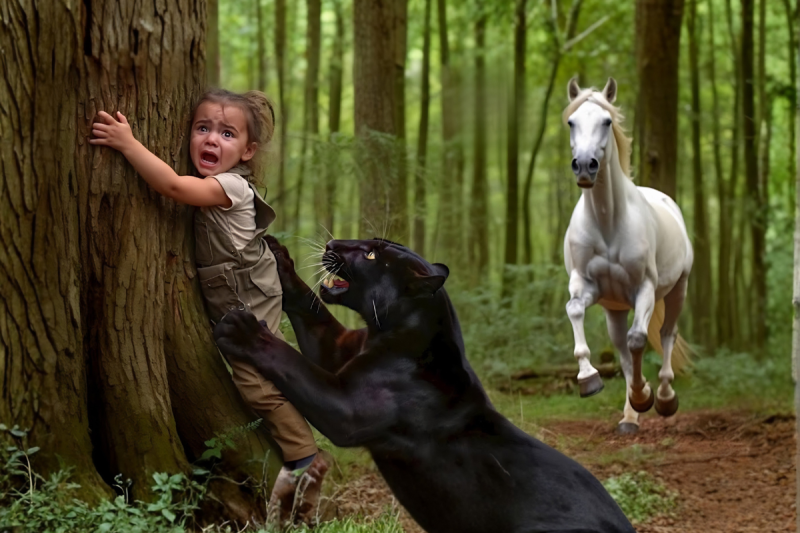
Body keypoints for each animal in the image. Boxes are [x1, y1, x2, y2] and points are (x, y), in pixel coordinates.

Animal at [561, 77, 693, 434]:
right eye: (571, 122)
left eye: (606, 121)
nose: (585, 166)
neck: (608, 222)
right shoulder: (586, 285)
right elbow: (575, 311)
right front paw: (588, 379)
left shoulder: (644, 288)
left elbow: (639, 340)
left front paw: (645, 395)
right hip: (615, 308)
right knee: (621, 350)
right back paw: (630, 417)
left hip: (677, 290)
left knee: (665, 335)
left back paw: (662, 397)